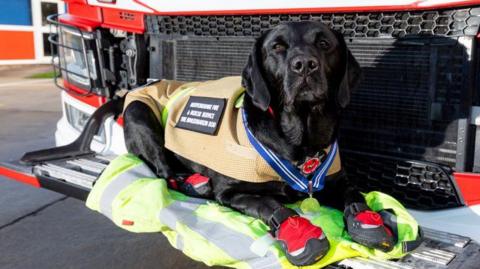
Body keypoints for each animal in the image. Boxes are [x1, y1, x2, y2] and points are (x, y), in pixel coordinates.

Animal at [123, 22, 394, 264]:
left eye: (324, 44)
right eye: (277, 47)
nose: (304, 65)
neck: (300, 138)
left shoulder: (337, 180)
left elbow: (354, 193)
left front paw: (367, 220)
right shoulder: (231, 191)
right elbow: (269, 202)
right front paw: (297, 231)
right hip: (139, 113)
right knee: (164, 171)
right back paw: (194, 184)